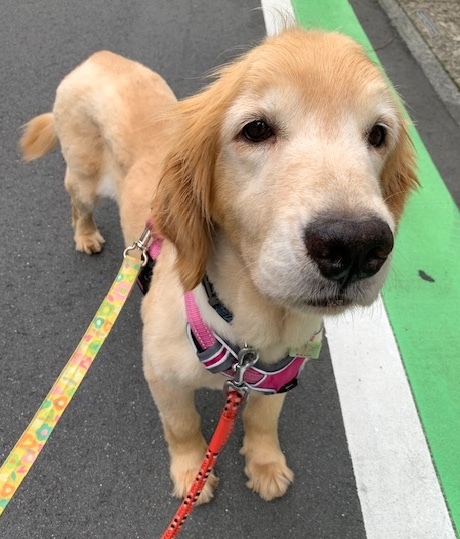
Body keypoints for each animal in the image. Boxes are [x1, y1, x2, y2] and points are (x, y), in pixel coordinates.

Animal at [20, 27, 417, 504]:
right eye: (256, 129)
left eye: (378, 134)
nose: (357, 245)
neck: (251, 331)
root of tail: (99, 57)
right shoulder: (163, 378)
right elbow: (183, 426)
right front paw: (193, 471)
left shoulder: (277, 379)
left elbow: (263, 420)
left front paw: (266, 464)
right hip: (83, 176)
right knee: (77, 202)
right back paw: (86, 234)